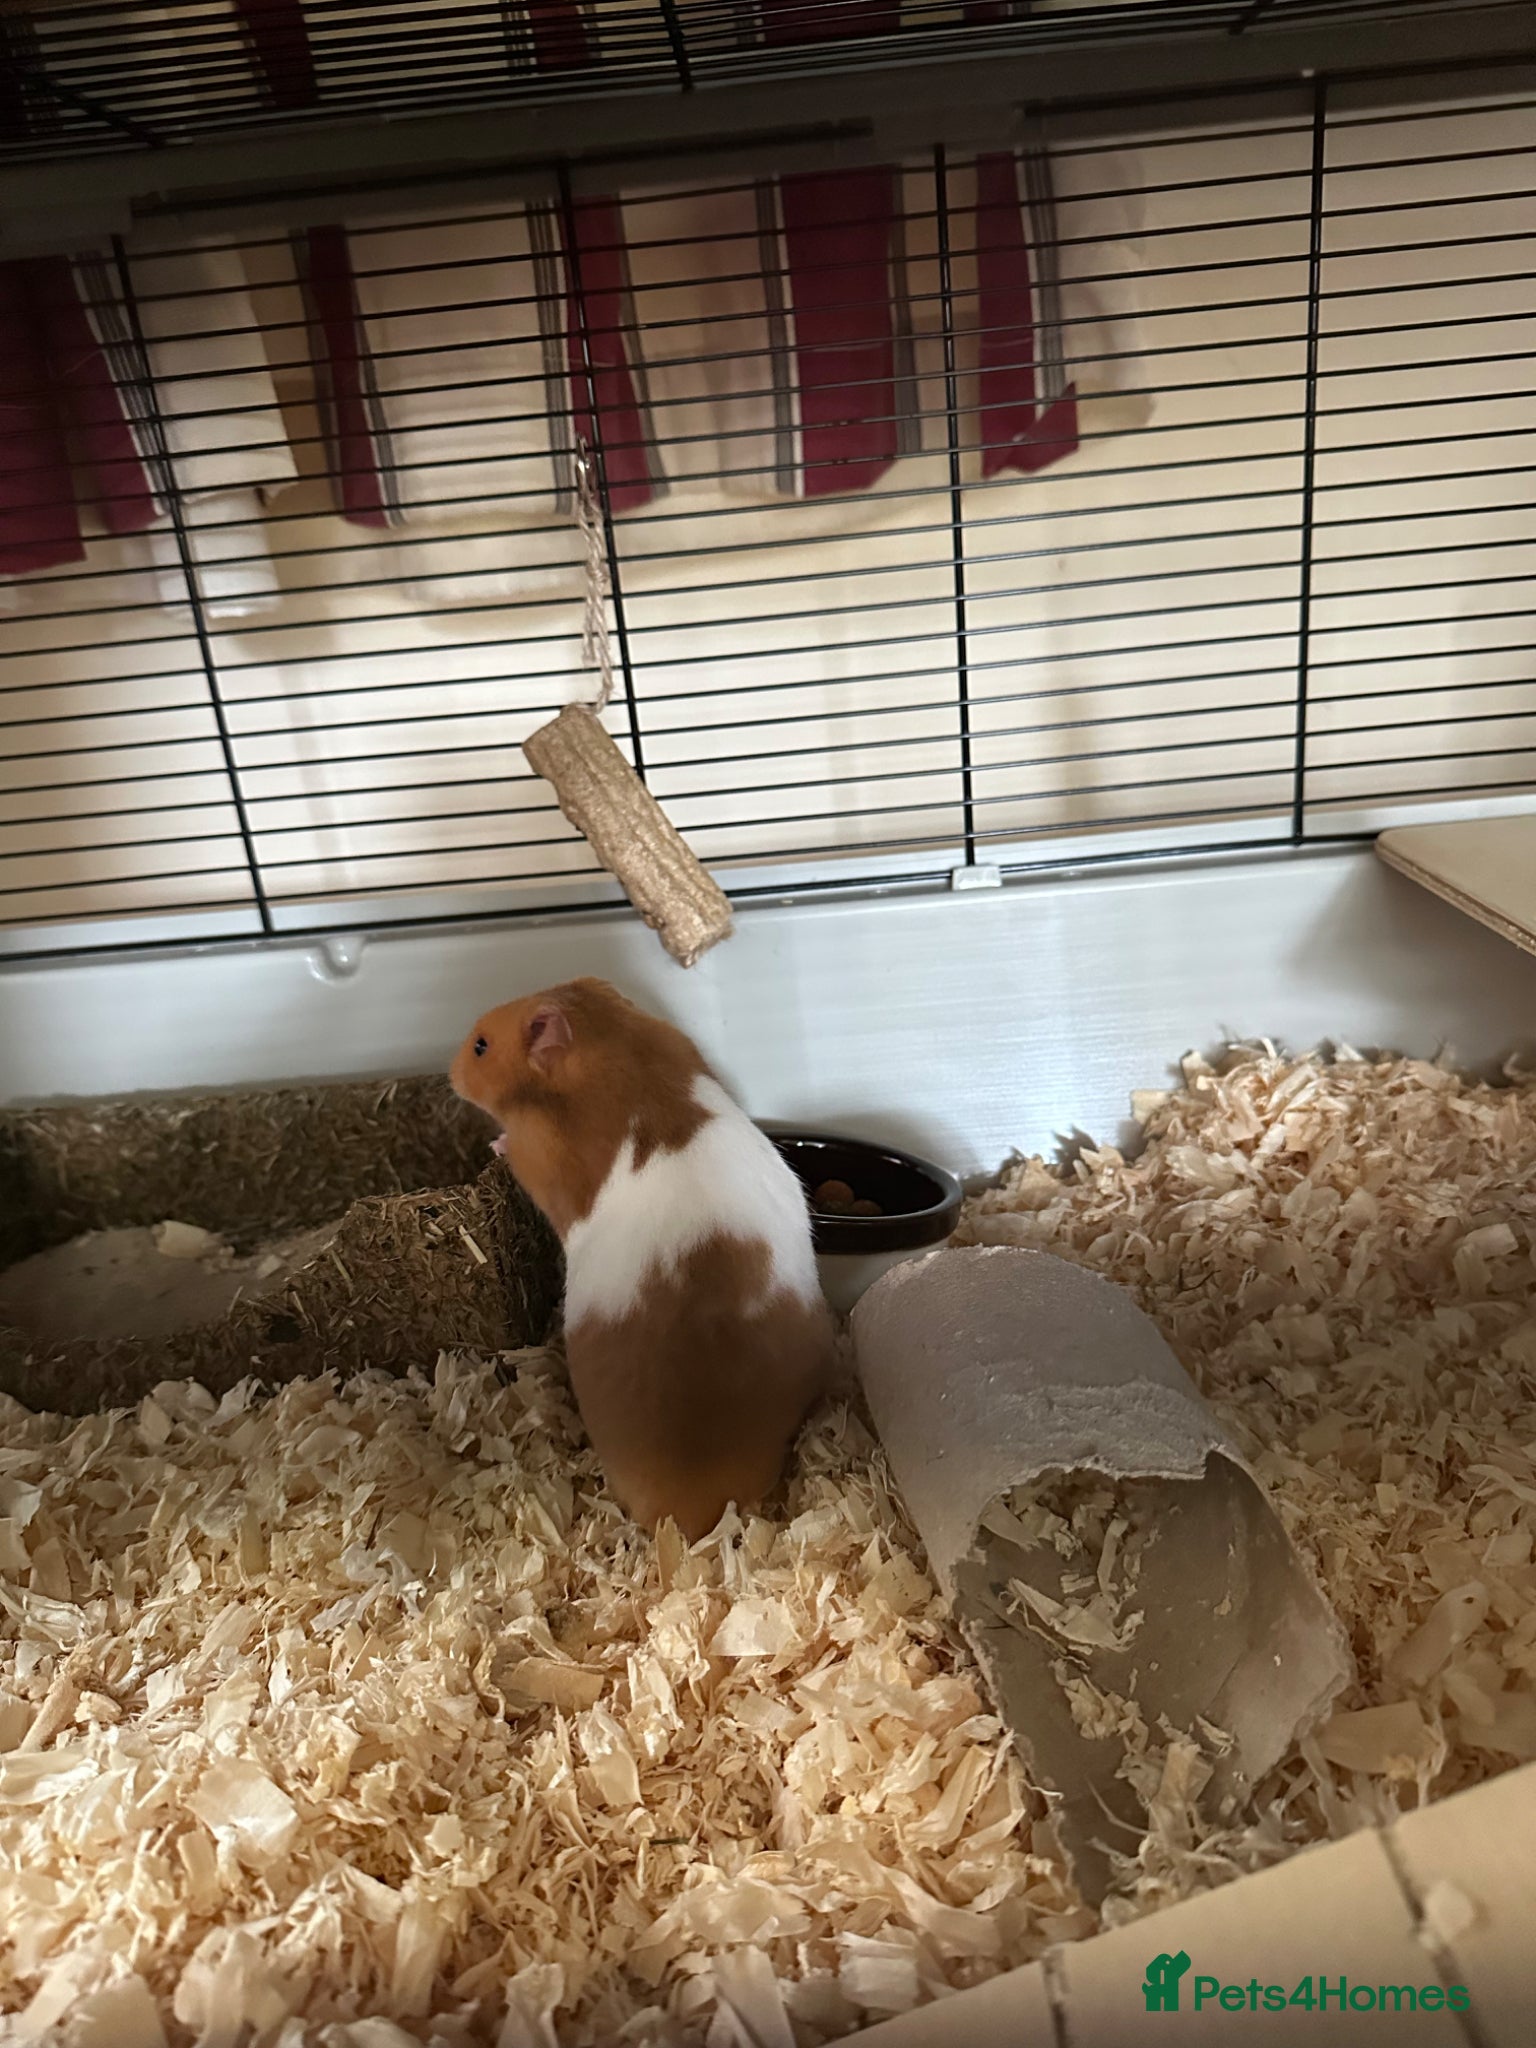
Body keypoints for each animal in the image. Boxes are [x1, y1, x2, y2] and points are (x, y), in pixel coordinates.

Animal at [450, 978, 835, 1541]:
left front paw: (493, 1141)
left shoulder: (540, 1153)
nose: (449, 1072)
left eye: (480, 1046)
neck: (611, 1044)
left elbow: (515, 1150)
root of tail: (703, 1507)